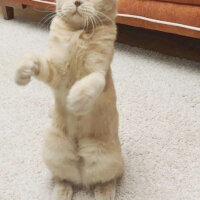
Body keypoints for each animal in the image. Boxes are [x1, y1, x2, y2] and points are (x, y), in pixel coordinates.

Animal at [14, 0, 123, 199]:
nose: (77, 2)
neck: (77, 33)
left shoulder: (99, 71)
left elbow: (92, 82)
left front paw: (76, 98)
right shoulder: (57, 73)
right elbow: (35, 59)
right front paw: (22, 72)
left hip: (105, 159)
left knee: (109, 178)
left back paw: (104, 192)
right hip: (55, 151)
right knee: (65, 178)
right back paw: (61, 192)